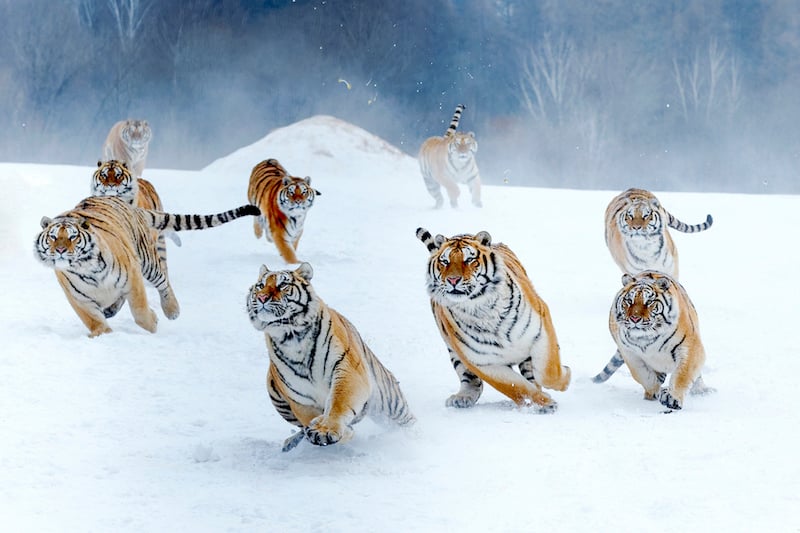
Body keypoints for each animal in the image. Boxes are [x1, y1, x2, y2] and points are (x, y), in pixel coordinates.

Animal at [35, 195, 259, 337]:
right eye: (53, 237)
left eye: (72, 237)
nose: (60, 250)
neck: (85, 269)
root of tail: (130, 206)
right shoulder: (79, 298)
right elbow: (94, 321)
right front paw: (103, 335)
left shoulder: (132, 276)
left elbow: (140, 311)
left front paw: (153, 323)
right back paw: (111, 310)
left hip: (148, 261)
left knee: (164, 282)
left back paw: (172, 310)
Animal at [246, 262, 415, 450]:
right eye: (260, 285)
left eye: (282, 285)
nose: (261, 298)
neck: (290, 335)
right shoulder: (299, 397)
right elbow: (307, 420)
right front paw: (324, 428)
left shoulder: (348, 369)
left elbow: (338, 403)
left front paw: (325, 428)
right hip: (273, 389)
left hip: (390, 402)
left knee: (407, 421)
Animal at [416, 228, 571, 412]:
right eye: (445, 262)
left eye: (469, 259)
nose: (452, 280)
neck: (479, 308)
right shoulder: (482, 363)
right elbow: (517, 387)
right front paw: (543, 403)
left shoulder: (540, 327)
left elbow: (548, 372)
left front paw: (566, 376)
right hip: (455, 352)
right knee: (470, 380)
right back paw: (462, 398)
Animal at [592, 270, 713, 410]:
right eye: (629, 301)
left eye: (649, 302)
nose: (634, 318)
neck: (647, 337)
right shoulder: (629, 353)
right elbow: (643, 376)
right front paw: (656, 392)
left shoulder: (690, 347)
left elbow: (682, 375)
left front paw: (672, 398)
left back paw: (701, 390)